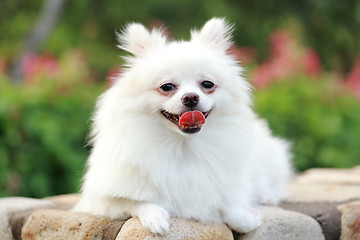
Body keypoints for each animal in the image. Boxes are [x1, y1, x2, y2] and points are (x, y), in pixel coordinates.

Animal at [73, 18, 292, 234]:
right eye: (167, 87)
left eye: (207, 84)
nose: (191, 97)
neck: (183, 146)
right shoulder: (100, 201)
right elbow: (134, 201)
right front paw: (154, 217)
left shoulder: (227, 187)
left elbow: (230, 205)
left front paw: (246, 218)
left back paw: (269, 196)